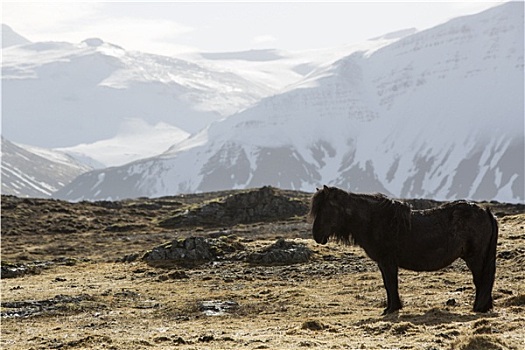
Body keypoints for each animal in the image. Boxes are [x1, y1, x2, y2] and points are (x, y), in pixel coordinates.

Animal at [310, 186, 498, 314]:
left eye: (326, 208)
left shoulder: (387, 262)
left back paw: (479, 307)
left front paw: (391, 309)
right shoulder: (384, 263)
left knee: (481, 280)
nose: (316, 235)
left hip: (475, 258)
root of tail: (486, 211)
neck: (374, 220)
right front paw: (392, 307)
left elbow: (390, 284)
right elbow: (389, 285)